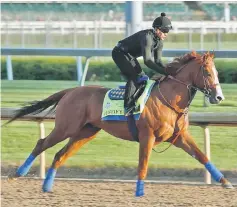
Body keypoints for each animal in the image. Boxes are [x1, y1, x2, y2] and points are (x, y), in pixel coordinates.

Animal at [5, 51, 233, 196]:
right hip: (65, 128)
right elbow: (143, 164)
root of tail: (71, 91)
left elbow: (203, 156)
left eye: (217, 72)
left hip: (85, 133)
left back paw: (47, 187)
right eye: (207, 72)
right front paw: (139, 192)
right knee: (41, 144)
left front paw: (225, 182)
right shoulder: (147, 136)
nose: (219, 97)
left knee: (60, 155)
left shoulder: (179, 137)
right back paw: (17, 175)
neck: (168, 98)